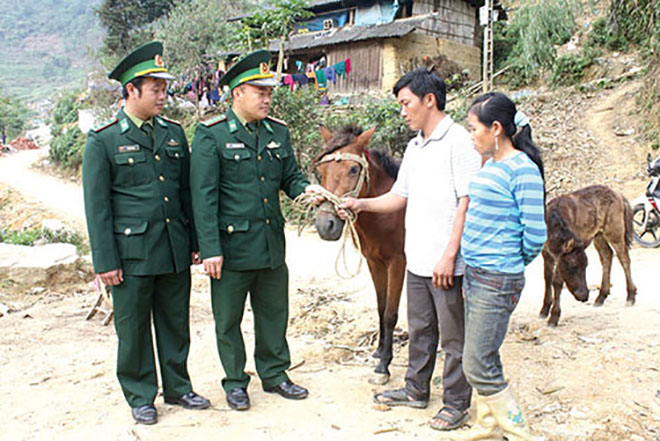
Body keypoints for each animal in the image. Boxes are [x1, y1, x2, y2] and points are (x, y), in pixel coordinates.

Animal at [312, 123, 404, 382]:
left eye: (353, 169)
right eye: (321, 168)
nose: (326, 225)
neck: (387, 212)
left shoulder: (398, 263)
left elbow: (391, 313)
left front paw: (384, 366)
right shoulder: (374, 262)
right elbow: (381, 307)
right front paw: (380, 351)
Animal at [540, 184, 636, 324]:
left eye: (585, 266)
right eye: (573, 267)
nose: (584, 296)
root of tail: (620, 195)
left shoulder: (559, 256)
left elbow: (557, 282)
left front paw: (554, 317)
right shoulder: (546, 254)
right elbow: (547, 278)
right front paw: (544, 310)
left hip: (614, 232)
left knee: (624, 258)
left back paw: (630, 297)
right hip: (598, 235)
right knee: (607, 256)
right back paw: (601, 297)